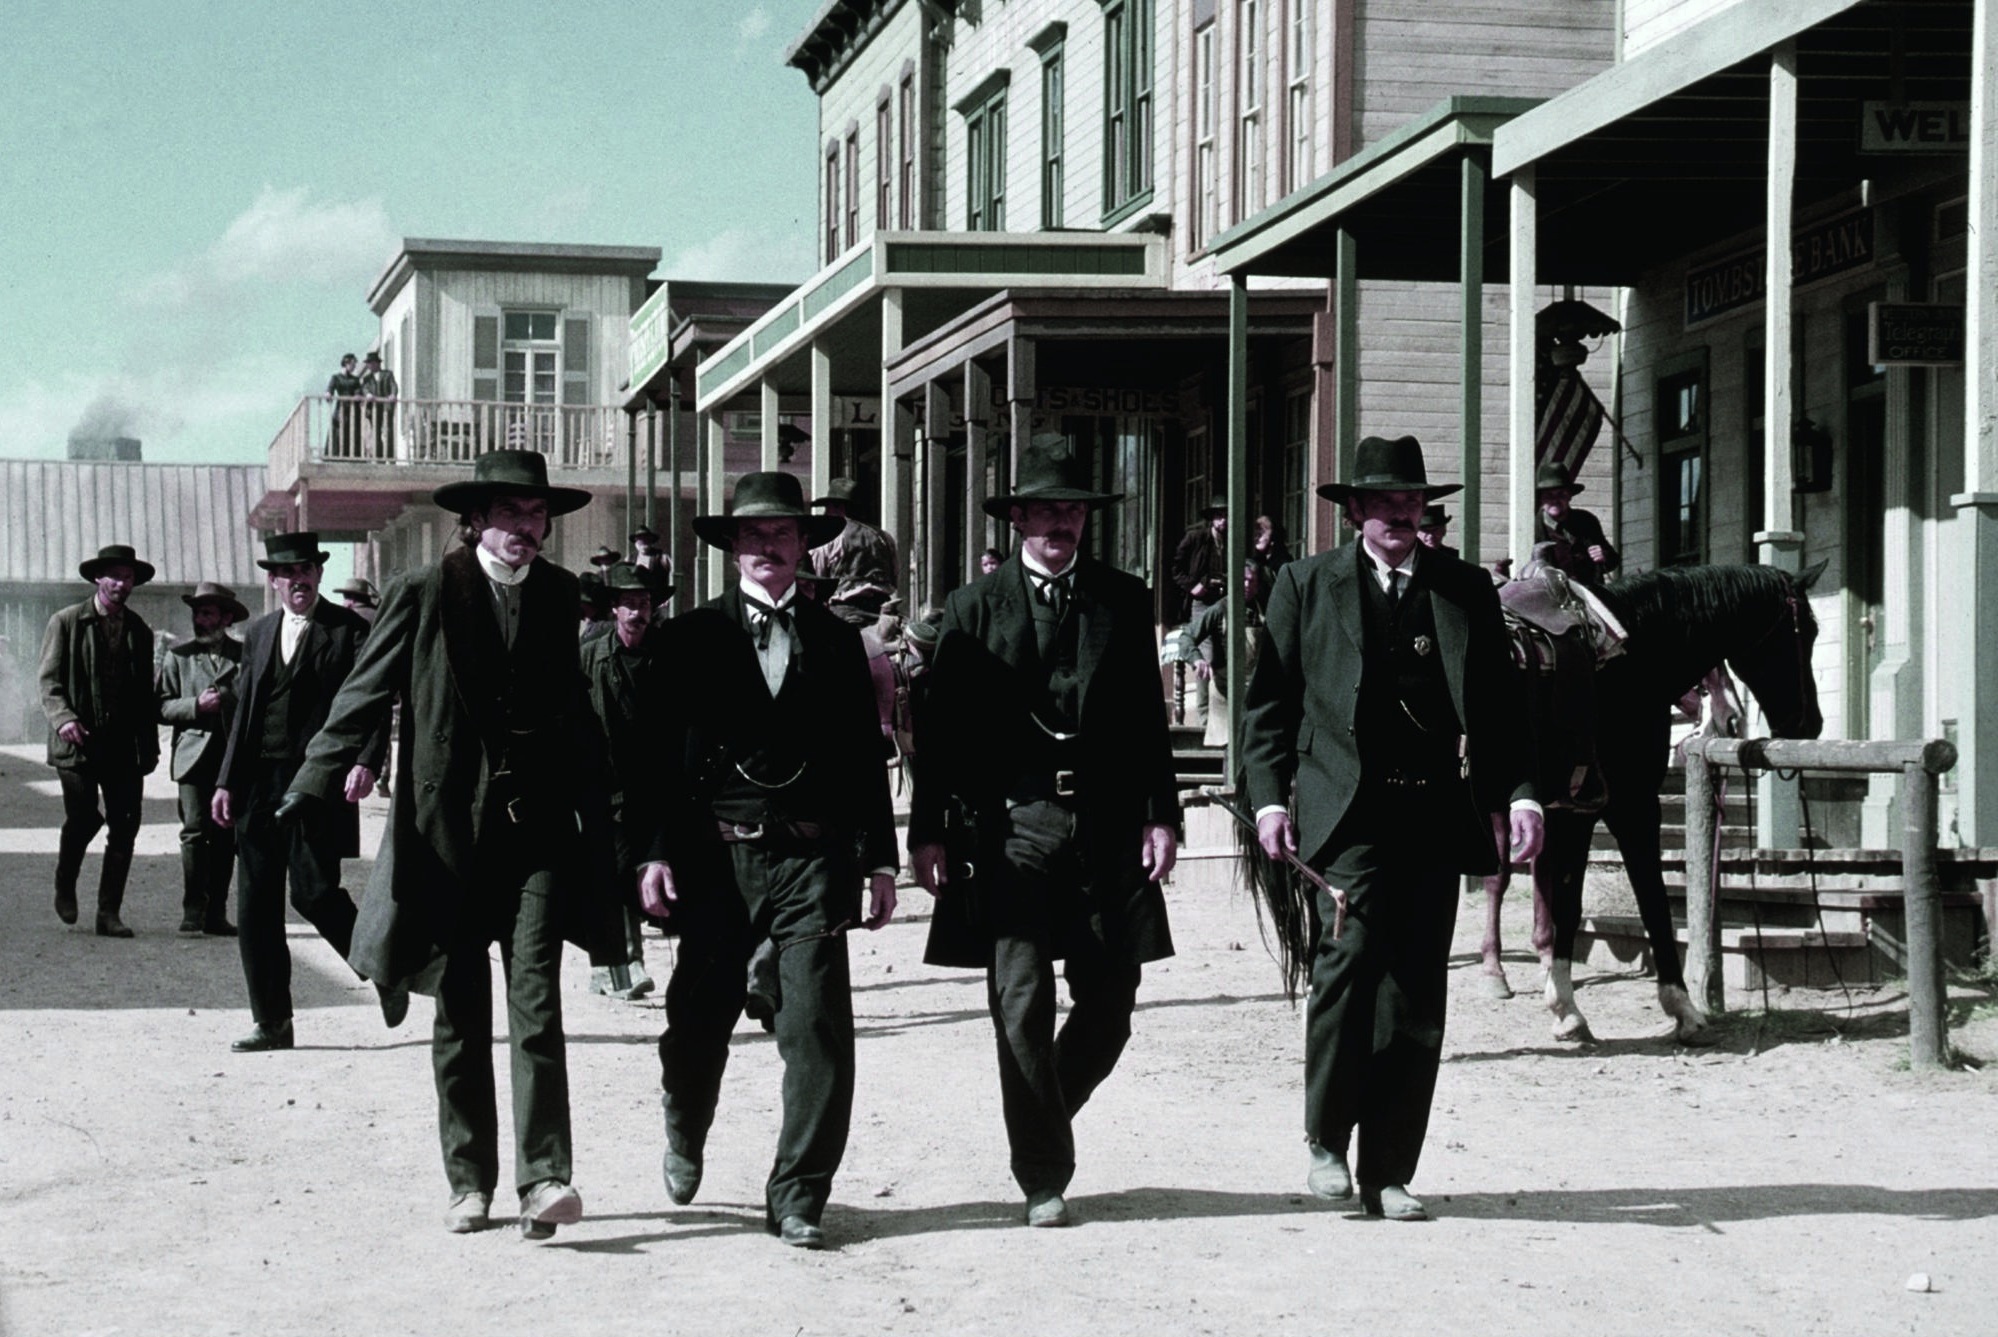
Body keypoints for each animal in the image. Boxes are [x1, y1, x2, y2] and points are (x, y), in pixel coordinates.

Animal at [1486, 559, 1830, 1039]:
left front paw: (1565, 1007)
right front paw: (1682, 1008)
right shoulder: (1626, 806)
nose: (1809, 723)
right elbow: (1652, 902)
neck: (1631, 656)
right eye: (1805, 632)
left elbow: (1566, 907)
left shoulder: (1572, 813)